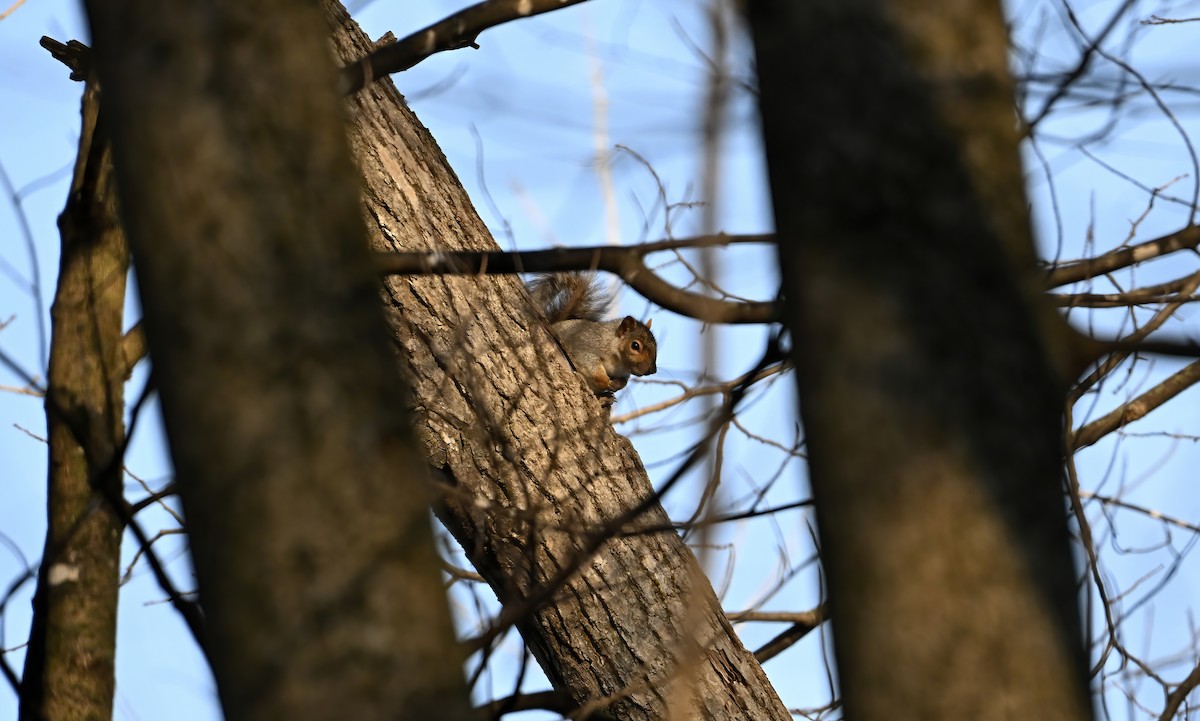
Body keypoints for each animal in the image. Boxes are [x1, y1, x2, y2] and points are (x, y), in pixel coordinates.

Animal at [526, 272, 658, 400]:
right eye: (635, 345)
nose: (652, 370)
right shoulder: (585, 345)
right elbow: (590, 364)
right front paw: (605, 382)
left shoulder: (623, 373)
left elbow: (624, 382)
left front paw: (616, 385)